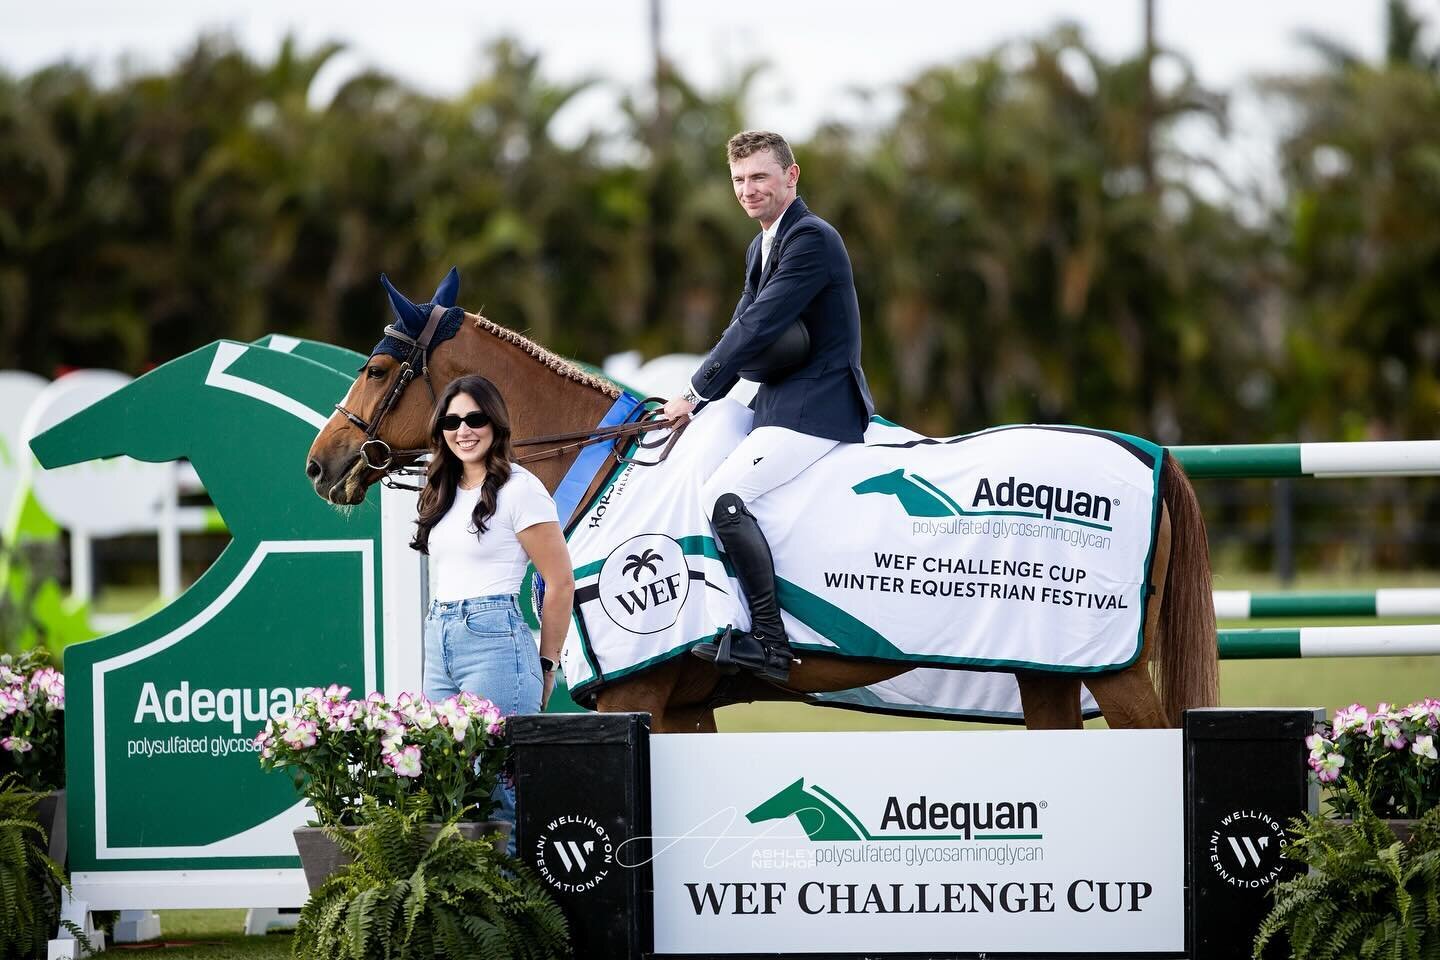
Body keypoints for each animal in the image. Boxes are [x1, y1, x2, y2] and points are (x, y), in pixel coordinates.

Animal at [303, 284, 1215, 736]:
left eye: (378, 368)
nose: (322, 463)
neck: (605, 472)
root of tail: (1148, 453)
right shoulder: (681, 705)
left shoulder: (643, 693)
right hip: (1047, 671)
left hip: (1116, 674)